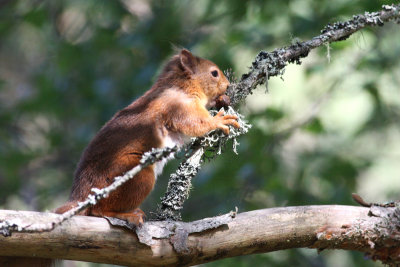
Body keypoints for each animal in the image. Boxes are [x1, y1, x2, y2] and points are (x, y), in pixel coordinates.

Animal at [54, 49, 239, 226]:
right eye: (214, 73)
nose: (228, 85)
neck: (181, 86)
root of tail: (81, 196)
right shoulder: (178, 107)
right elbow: (195, 123)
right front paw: (220, 120)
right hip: (137, 175)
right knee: (98, 210)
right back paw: (128, 214)